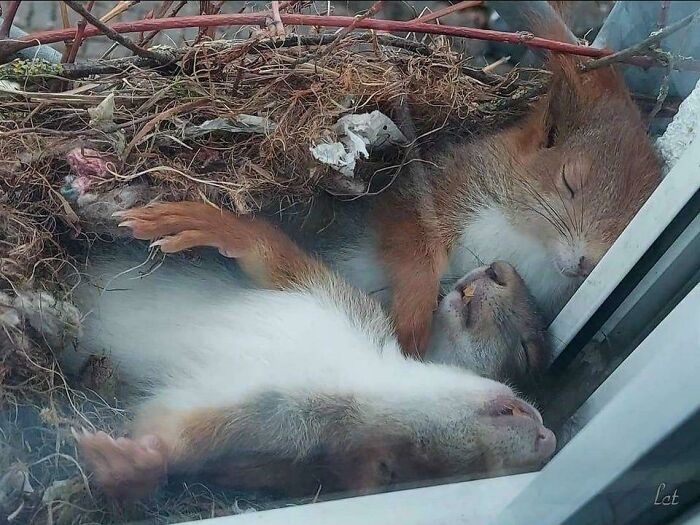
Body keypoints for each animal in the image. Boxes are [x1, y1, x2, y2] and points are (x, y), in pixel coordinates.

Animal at [69, 202, 552, 500]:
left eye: (399, 468)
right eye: (526, 354)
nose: (547, 438)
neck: (357, 373)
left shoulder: (263, 424)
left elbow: (173, 435)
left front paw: (131, 464)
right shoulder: (334, 298)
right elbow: (269, 254)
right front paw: (203, 221)